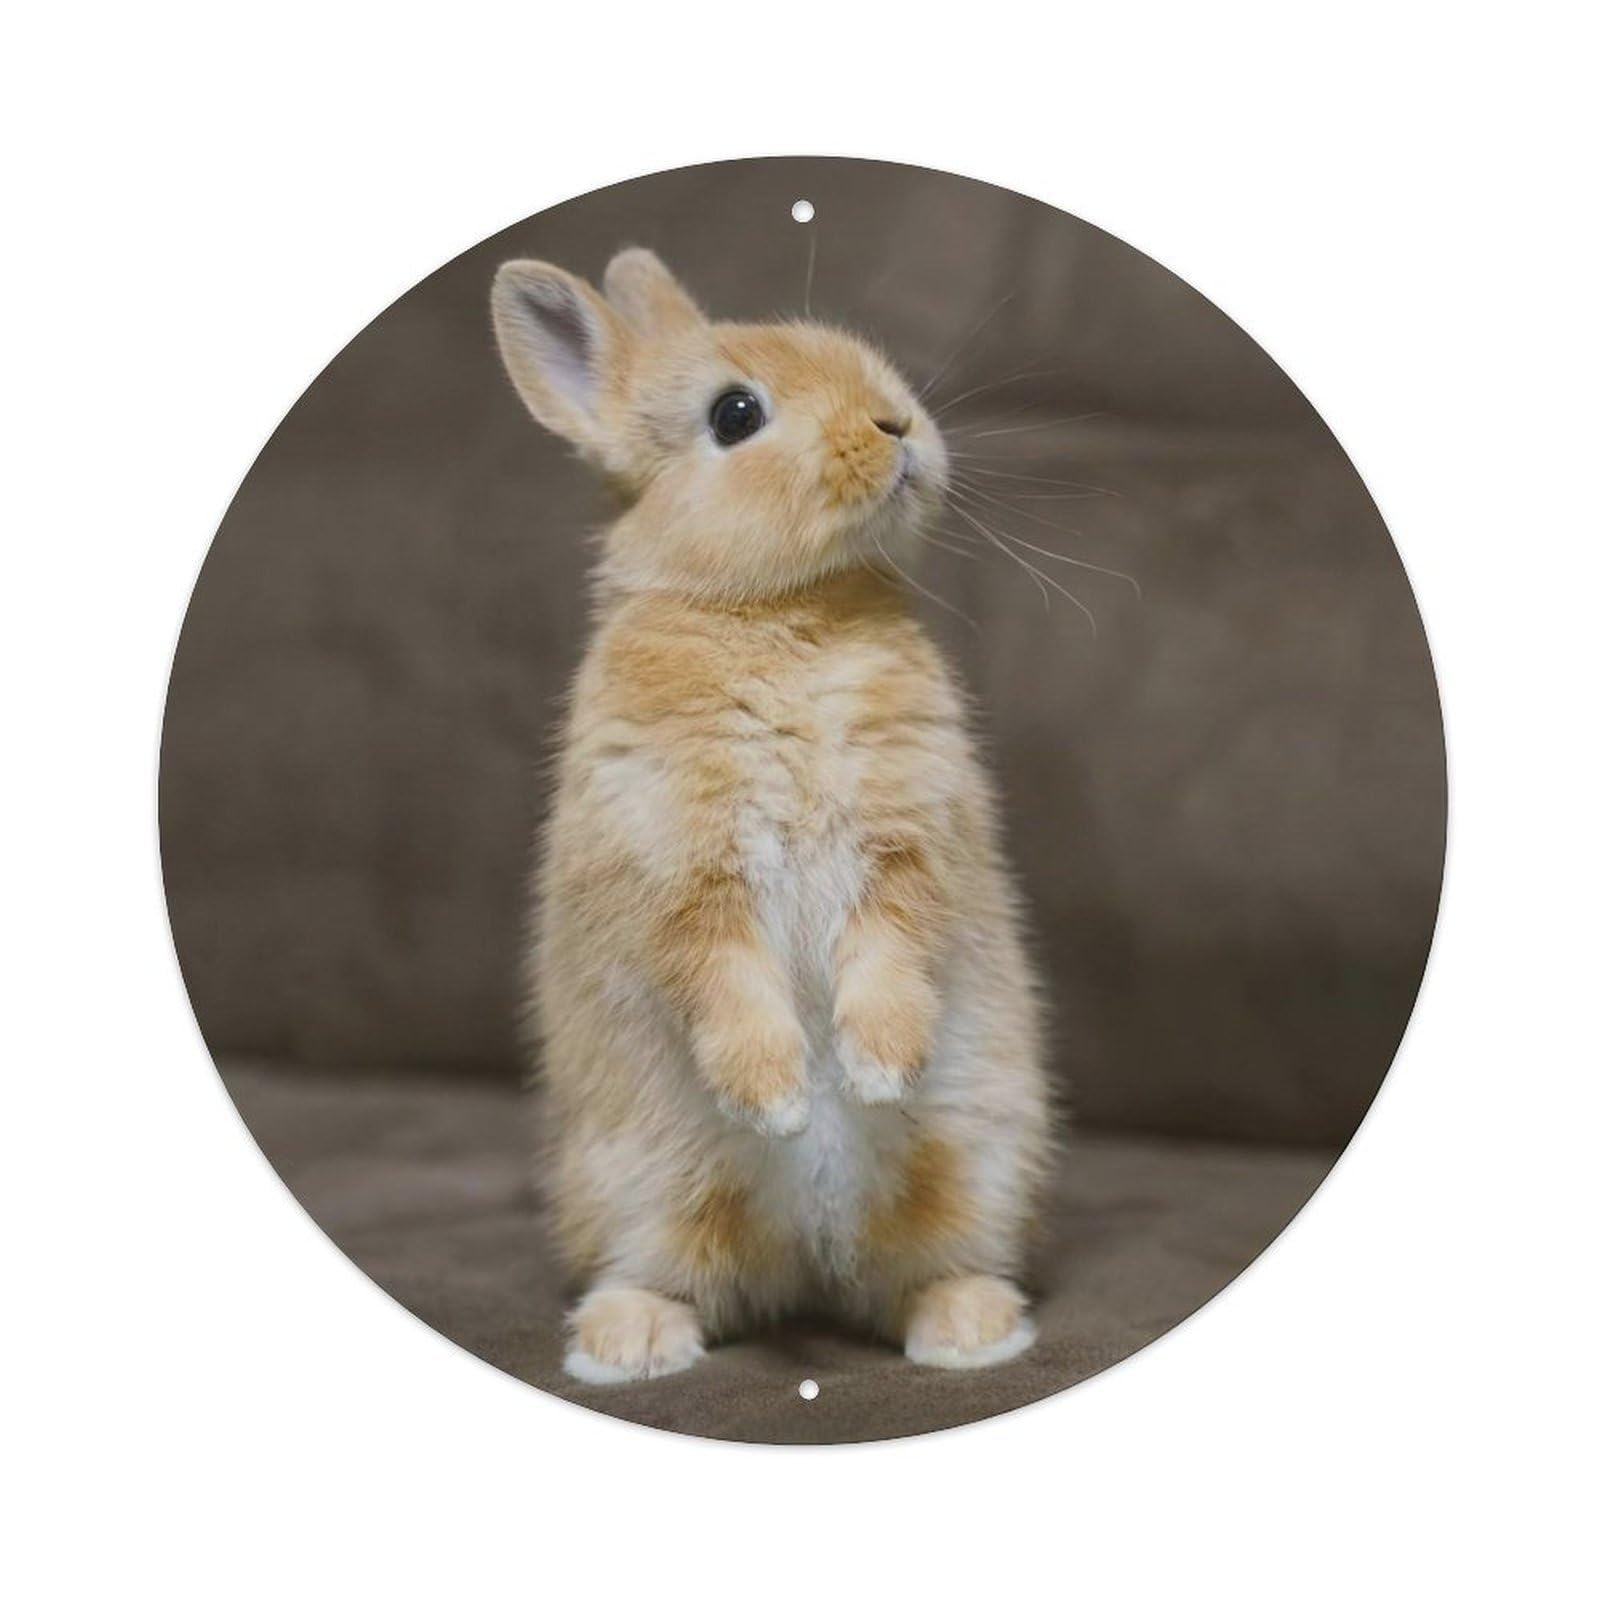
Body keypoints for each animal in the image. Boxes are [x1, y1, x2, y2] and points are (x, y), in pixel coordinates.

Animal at [491, 246, 1053, 1383]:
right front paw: (783, 1101)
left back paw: (969, 1330)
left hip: (979, 1162)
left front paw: (875, 1072)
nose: (897, 423)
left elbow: (892, 953)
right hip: (640, 1186)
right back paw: (627, 1343)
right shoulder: (675, 863)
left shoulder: (907, 833)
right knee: (680, 1274)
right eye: (735, 413)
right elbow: (725, 984)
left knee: (916, 1269)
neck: (780, 610)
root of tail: (808, 1263)